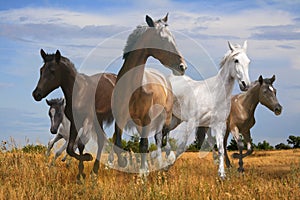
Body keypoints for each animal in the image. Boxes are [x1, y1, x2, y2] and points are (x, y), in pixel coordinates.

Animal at [32, 50, 116, 180]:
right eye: (41, 70)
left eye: (52, 71)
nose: (36, 94)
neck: (79, 92)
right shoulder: (74, 122)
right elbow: (70, 149)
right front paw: (81, 170)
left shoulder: (87, 121)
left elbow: (78, 145)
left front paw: (86, 160)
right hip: (99, 120)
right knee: (101, 140)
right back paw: (95, 171)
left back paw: (110, 163)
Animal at [112, 13, 188, 174]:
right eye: (163, 39)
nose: (182, 67)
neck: (132, 85)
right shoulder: (120, 118)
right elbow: (118, 144)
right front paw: (123, 162)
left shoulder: (146, 119)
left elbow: (144, 145)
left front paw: (143, 172)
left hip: (164, 119)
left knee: (162, 140)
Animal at [163, 40, 250, 178]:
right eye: (236, 60)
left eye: (248, 61)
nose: (245, 85)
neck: (214, 94)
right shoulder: (192, 122)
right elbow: (181, 147)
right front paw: (166, 167)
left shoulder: (218, 125)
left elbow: (220, 149)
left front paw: (222, 175)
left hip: (175, 120)